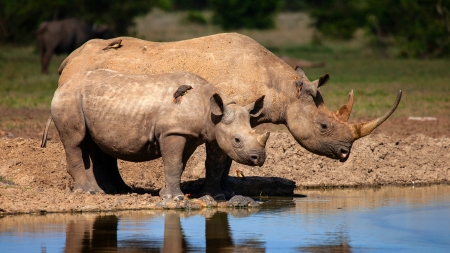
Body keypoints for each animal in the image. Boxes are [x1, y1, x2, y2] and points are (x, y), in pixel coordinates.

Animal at [52, 69, 270, 200]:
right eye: (237, 140)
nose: (259, 158)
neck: (211, 113)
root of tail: (61, 85)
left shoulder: (193, 134)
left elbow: (182, 164)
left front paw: (168, 194)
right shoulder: (173, 132)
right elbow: (173, 163)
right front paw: (175, 198)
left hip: (84, 102)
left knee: (89, 144)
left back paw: (100, 192)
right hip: (69, 99)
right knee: (74, 142)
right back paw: (86, 192)